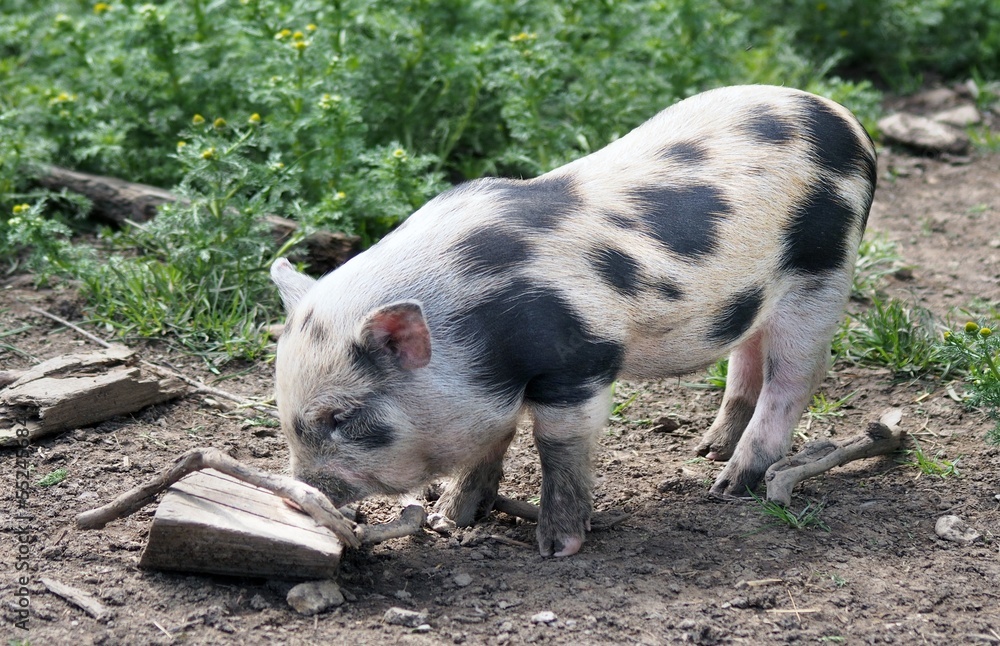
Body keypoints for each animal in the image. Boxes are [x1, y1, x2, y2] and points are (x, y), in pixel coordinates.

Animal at [270, 84, 877, 557]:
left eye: (343, 417)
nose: (299, 493)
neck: (469, 322)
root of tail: (845, 119)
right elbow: (494, 438)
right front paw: (450, 519)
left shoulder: (579, 363)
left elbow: (556, 445)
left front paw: (557, 547)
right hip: (757, 294)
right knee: (747, 355)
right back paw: (707, 451)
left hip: (824, 272)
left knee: (795, 377)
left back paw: (728, 487)